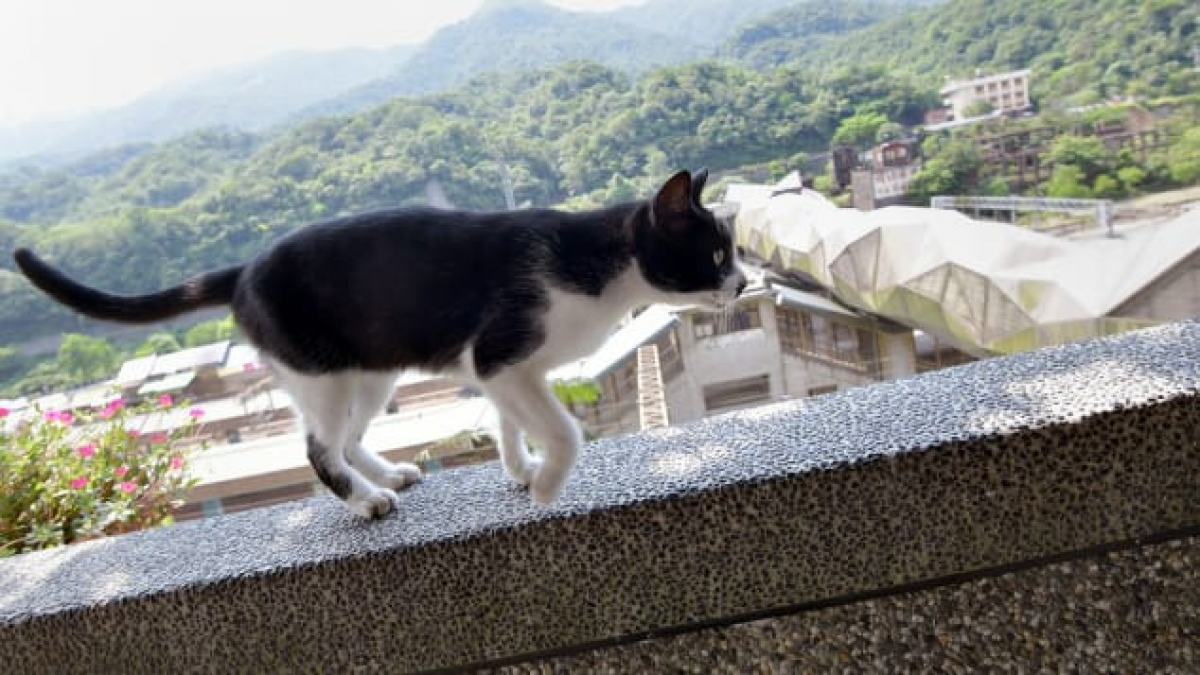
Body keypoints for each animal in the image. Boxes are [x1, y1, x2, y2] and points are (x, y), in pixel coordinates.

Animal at [16, 168, 748, 514]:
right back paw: (366, 500)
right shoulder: (499, 354)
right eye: (716, 254)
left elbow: (509, 420)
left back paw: (388, 473)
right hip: (323, 375)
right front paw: (545, 486)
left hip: (370, 373)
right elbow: (564, 430)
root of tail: (242, 269)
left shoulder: (507, 371)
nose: (742, 284)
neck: (601, 267)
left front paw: (518, 469)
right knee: (318, 447)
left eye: (735, 252)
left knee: (346, 437)